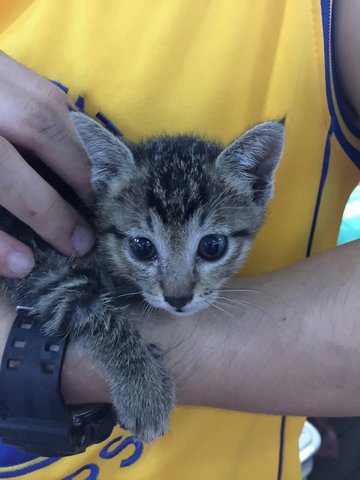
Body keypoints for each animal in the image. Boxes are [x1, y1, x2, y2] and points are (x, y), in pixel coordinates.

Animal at [0, 112, 284, 442]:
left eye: (213, 246)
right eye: (142, 247)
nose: (177, 298)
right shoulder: (40, 264)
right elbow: (92, 309)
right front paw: (143, 389)